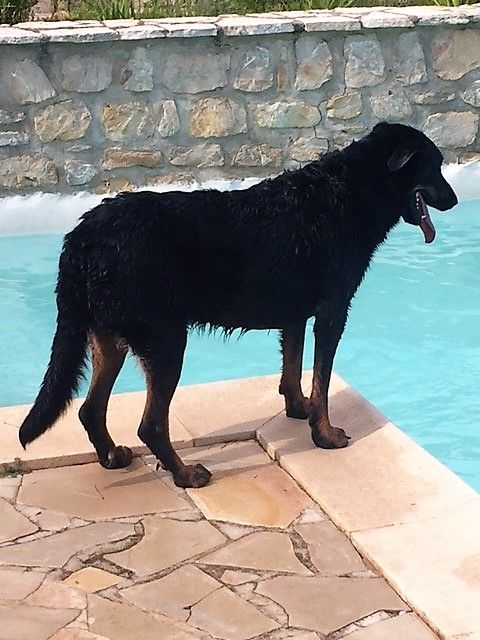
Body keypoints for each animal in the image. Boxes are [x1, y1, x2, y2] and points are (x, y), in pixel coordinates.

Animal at [19, 122, 458, 488]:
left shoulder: (295, 315)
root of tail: (82, 236)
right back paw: (185, 475)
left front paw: (297, 408)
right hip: (165, 339)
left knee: (90, 410)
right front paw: (325, 434)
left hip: (110, 336)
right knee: (151, 426)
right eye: (435, 166)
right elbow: (322, 381)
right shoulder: (332, 313)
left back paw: (111, 457)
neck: (352, 189)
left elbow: (293, 369)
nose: (454, 200)